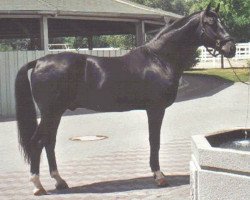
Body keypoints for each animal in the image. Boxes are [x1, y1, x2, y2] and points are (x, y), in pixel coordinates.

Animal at [15, 3, 234, 196]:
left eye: (221, 21)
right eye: (210, 23)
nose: (230, 48)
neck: (159, 59)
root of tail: (39, 61)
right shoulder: (155, 109)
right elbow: (154, 140)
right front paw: (159, 176)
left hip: (56, 113)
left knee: (49, 142)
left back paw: (59, 181)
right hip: (50, 112)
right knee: (37, 142)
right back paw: (38, 186)